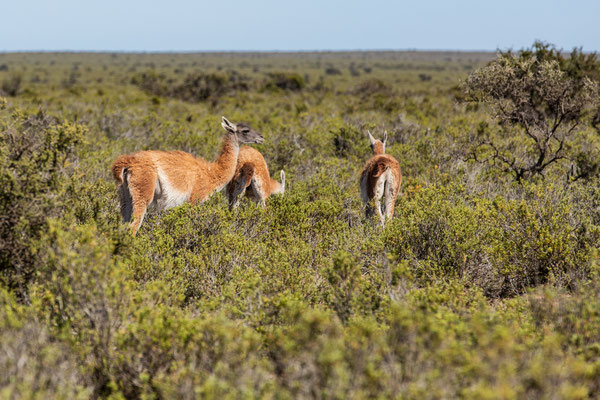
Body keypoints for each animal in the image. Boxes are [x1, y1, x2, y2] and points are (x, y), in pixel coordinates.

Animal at [112, 116, 262, 234]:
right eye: (245, 130)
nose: (261, 137)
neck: (211, 172)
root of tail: (128, 161)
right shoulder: (194, 198)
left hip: (125, 194)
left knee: (123, 225)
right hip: (142, 191)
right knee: (133, 227)